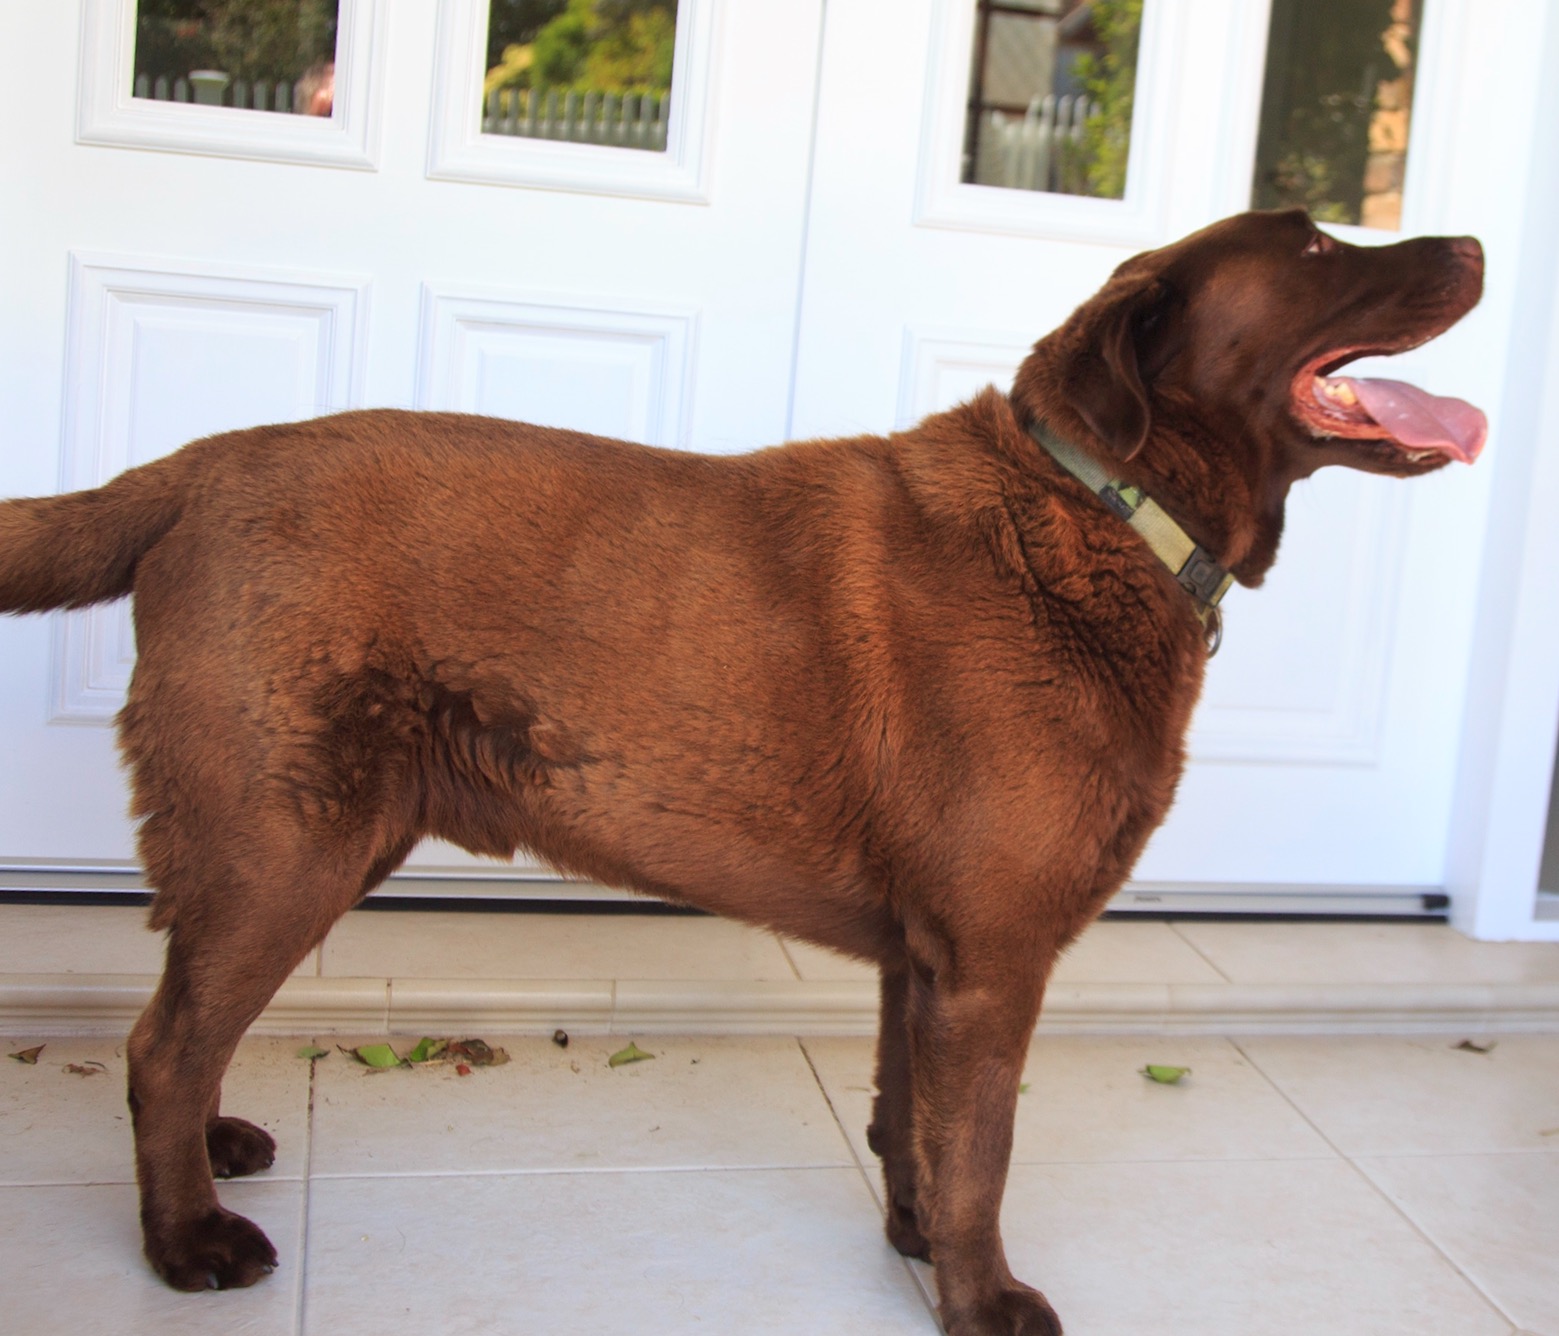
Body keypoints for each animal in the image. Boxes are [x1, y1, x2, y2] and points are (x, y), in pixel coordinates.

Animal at [0, 209, 1484, 1334]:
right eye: (1310, 245)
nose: (1474, 240)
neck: (1097, 509)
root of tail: (188, 470)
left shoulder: (924, 961)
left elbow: (911, 1125)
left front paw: (911, 1248)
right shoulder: (993, 957)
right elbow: (982, 1153)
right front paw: (981, 1301)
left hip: (298, 844)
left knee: (189, 1022)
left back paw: (213, 1156)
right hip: (281, 843)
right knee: (162, 1041)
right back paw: (185, 1239)